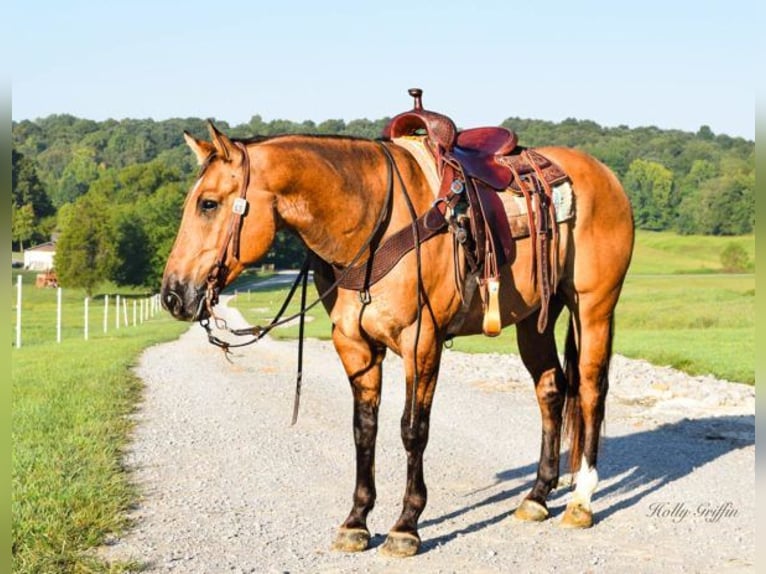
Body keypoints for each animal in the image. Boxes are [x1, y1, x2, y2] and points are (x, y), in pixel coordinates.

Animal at [162, 92, 636, 560]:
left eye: (208, 203)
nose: (172, 294)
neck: (371, 225)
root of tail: (604, 175)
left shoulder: (420, 341)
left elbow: (413, 429)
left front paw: (406, 525)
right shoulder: (353, 344)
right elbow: (364, 428)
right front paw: (356, 521)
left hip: (593, 307)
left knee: (590, 390)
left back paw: (581, 500)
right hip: (535, 319)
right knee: (551, 388)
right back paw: (537, 496)